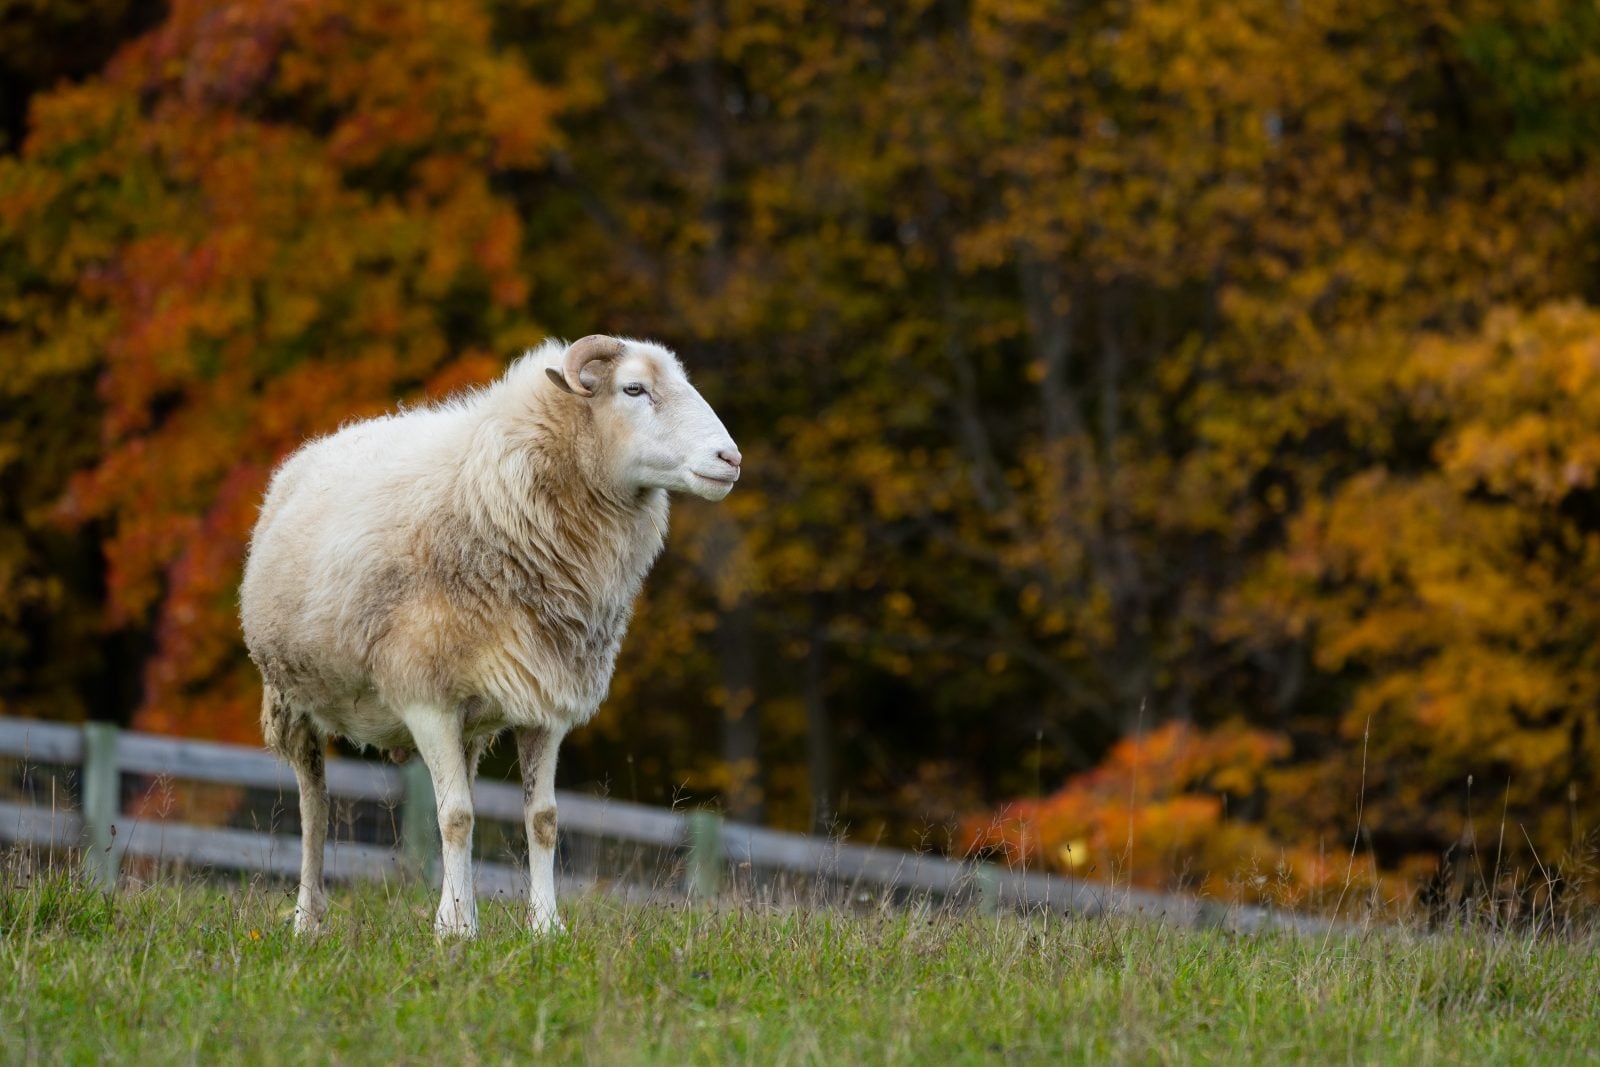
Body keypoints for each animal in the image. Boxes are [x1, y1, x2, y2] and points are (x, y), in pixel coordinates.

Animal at [240, 335, 742, 937]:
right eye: (634, 389)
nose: (731, 460)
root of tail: (322, 443)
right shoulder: (426, 697)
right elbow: (454, 817)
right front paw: (455, 928)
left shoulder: (544, 699)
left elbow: (541, 819)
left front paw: (544, 926)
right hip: (293, 698)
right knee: (313, 806)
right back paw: (307, 919)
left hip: (471, 726)